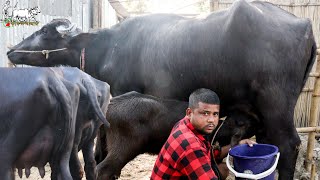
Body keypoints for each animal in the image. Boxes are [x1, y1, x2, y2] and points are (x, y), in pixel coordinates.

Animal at [6, 0, 318, 178]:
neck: (110, 47)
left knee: (288, 145)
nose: (11, 50)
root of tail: (304, 25)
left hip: (276, 105)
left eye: (45, 32)